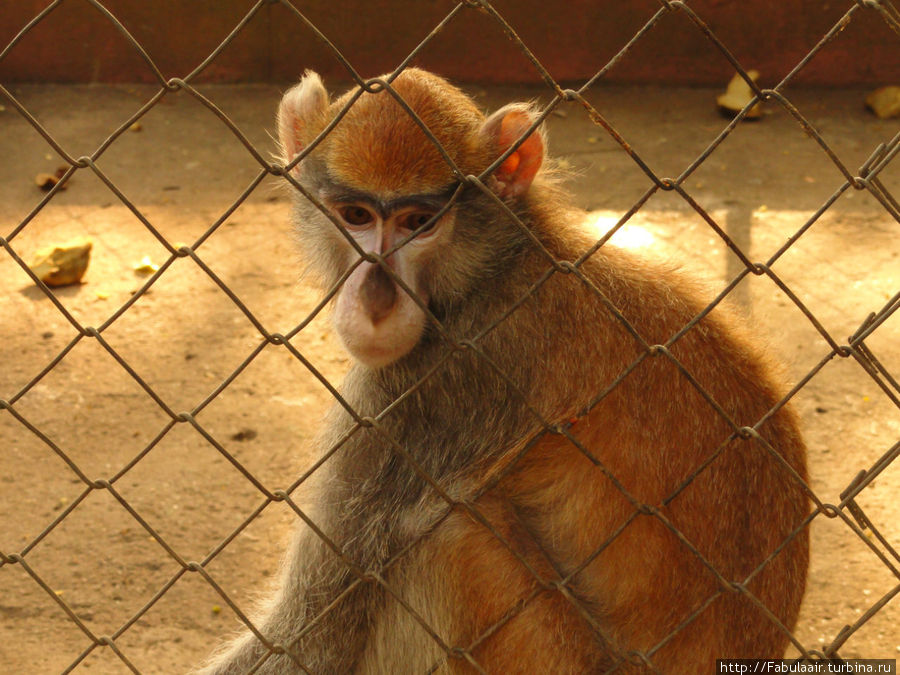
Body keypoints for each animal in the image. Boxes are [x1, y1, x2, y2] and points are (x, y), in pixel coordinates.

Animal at [200, 70, 812, 675]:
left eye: (419, 223)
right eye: (356, 217)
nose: (377, 302)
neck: (499, 266)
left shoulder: (435, 386)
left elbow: (311, 636)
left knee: (449, 531)